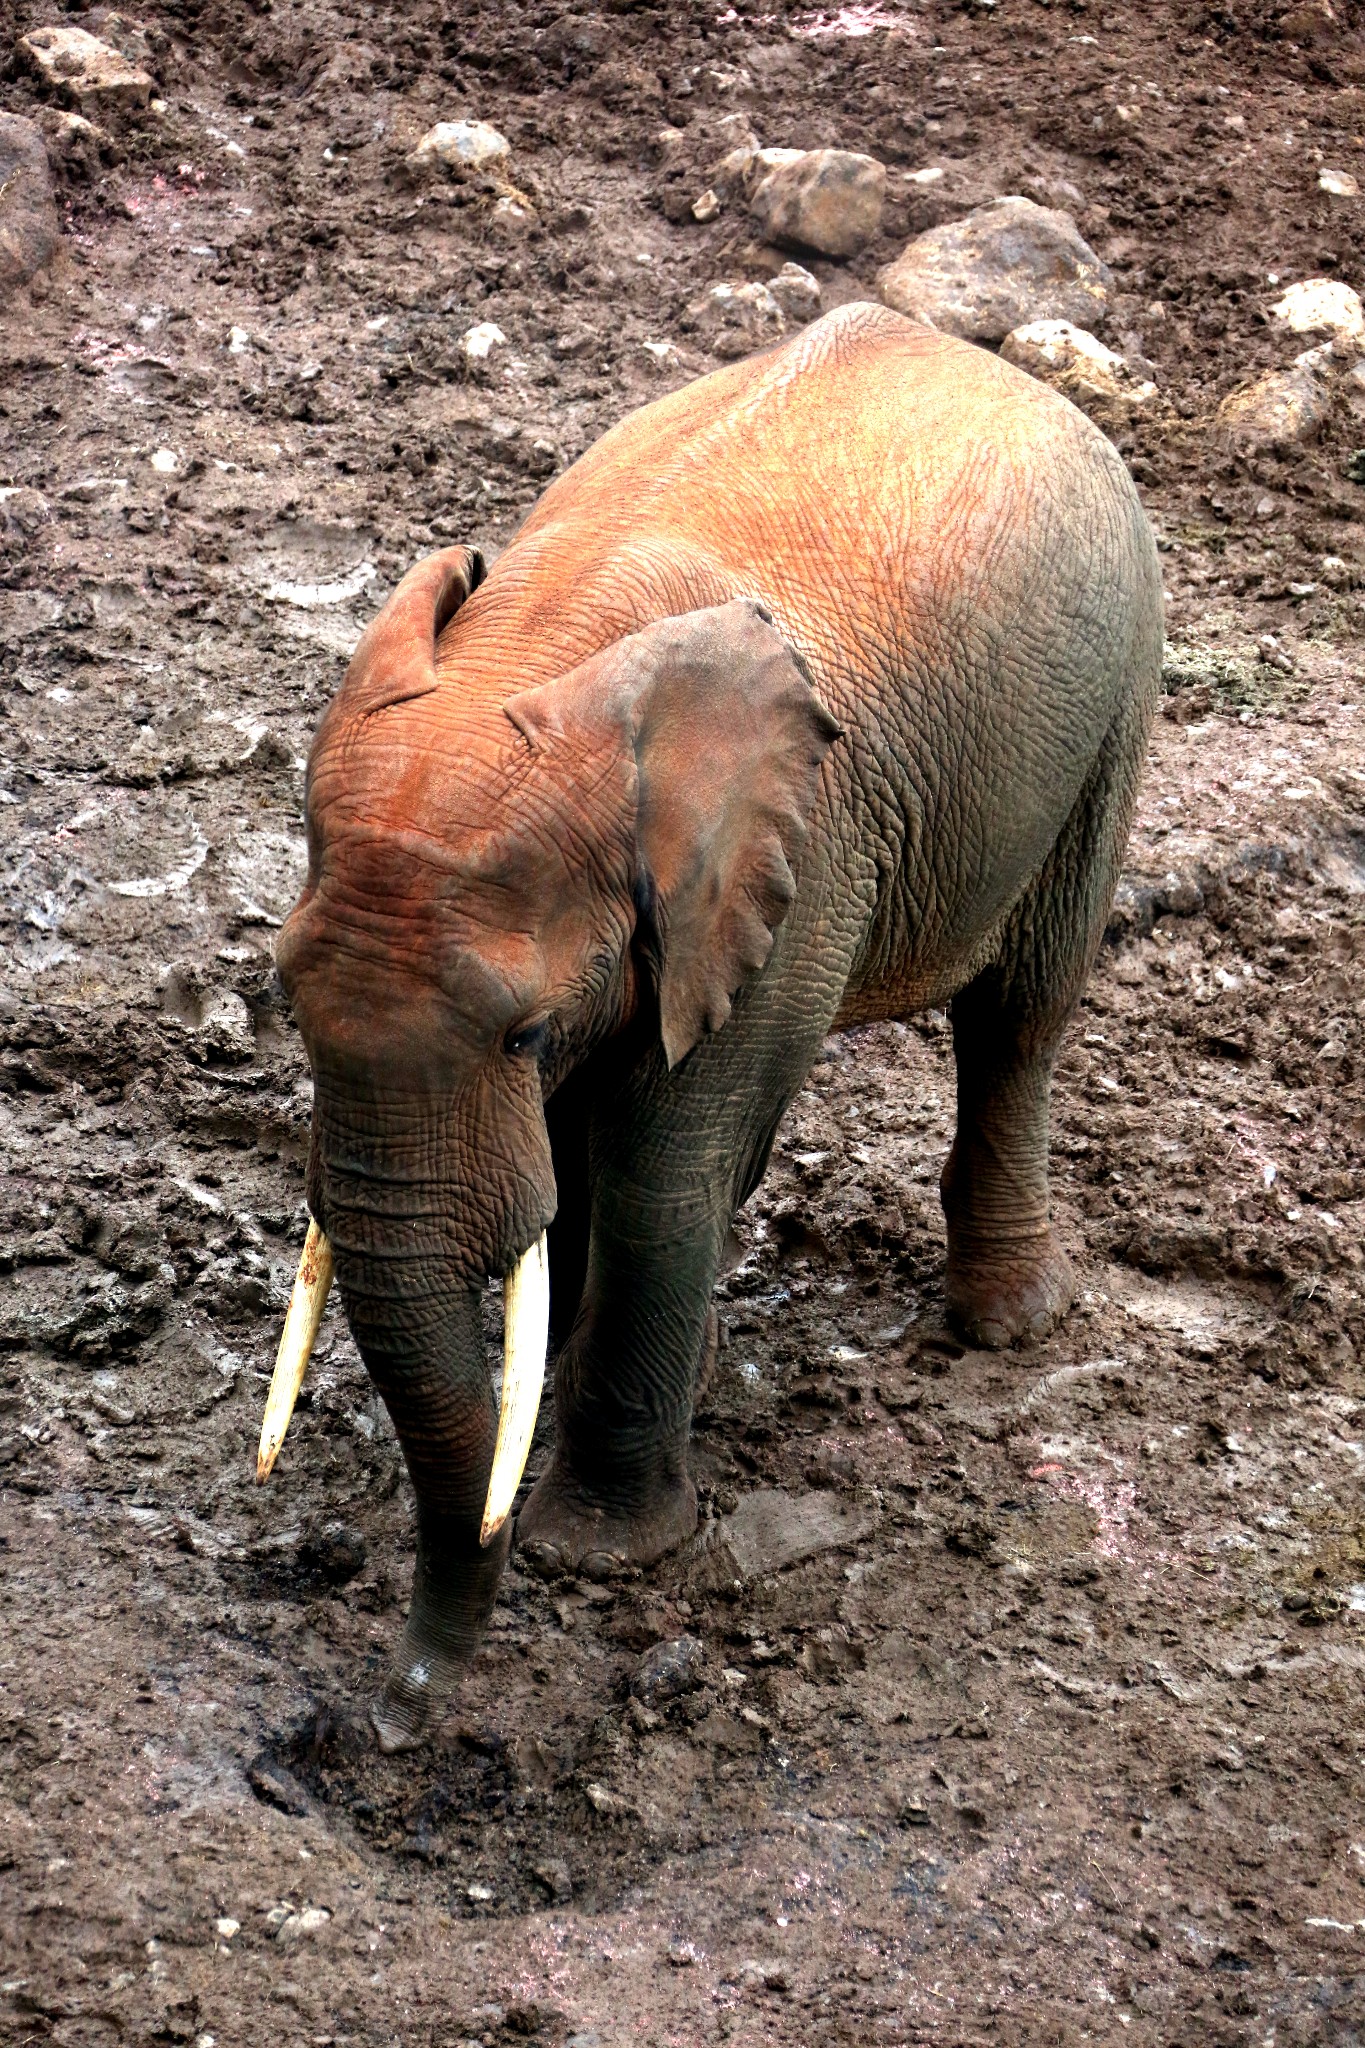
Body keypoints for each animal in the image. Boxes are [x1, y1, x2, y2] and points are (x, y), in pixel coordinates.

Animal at [263, 299, 1162, 1744]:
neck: (540, 646)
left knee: (1022, 1013)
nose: (412, 1693)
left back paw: (1005, 1329)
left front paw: (595, 1554)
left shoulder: (794, 863)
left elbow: (657, 1172)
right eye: (283, 997)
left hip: (1117, 687)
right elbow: (582, 1168)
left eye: (519, 1035)